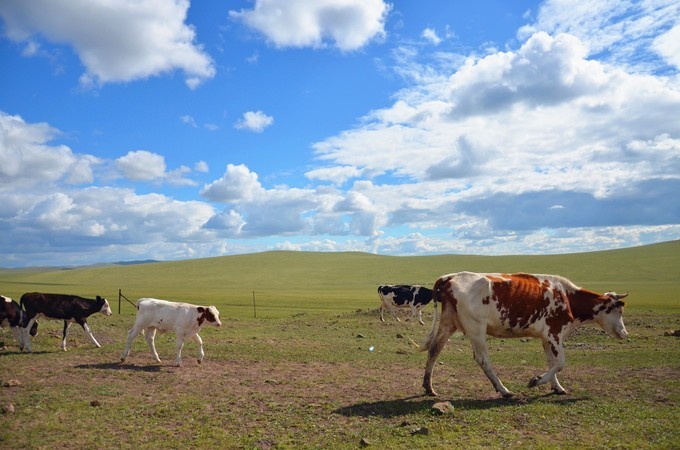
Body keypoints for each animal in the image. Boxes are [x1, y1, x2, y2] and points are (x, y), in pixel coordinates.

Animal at [422, 272, 628, 396]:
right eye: (619, 311)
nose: (625, 333)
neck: (567, 297)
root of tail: (451, 276)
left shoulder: (546, 338)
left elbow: (552, 362)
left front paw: (557, 387)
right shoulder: (554, 333)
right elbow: (560, 362)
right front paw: (536, 381)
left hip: (449, 323)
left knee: (434, 350)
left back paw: (428, 387)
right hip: (476, 329)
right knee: (482, 359)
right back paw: (504, 390)